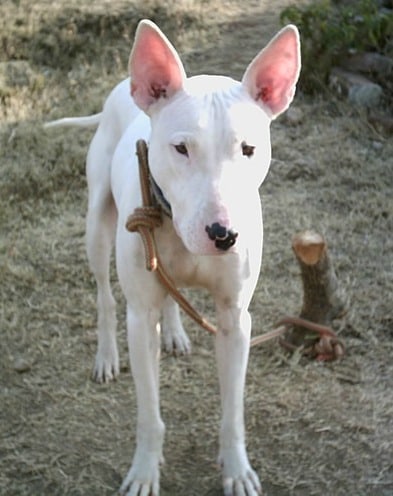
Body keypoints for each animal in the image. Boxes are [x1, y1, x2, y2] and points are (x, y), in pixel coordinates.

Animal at [46, 20, 298, 496]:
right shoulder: (140, 318)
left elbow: (232, 413)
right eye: (181, 148)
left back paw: (176, 333)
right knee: (105, 295)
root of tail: (121, 88)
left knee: (170, 290)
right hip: (96, 225)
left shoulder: (235, 320)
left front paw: (237, 469)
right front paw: (145, 471)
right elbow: (149, 414)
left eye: (249, 149)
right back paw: (106, 356)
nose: (223, 235)